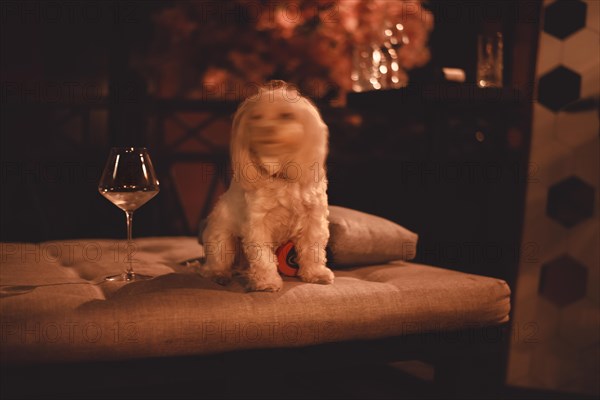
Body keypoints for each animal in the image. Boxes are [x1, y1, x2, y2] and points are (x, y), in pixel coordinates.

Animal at [200, 81, 332, 292]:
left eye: (286, 116)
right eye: (256, 117)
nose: (267, 128)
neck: (280, 173)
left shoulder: (314, 220)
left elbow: (313, 248)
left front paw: (316, 273)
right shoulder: (258, 223)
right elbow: (262, 256)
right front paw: (267, 281)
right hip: (221, 238)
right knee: (215, 263)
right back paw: (218, 274)